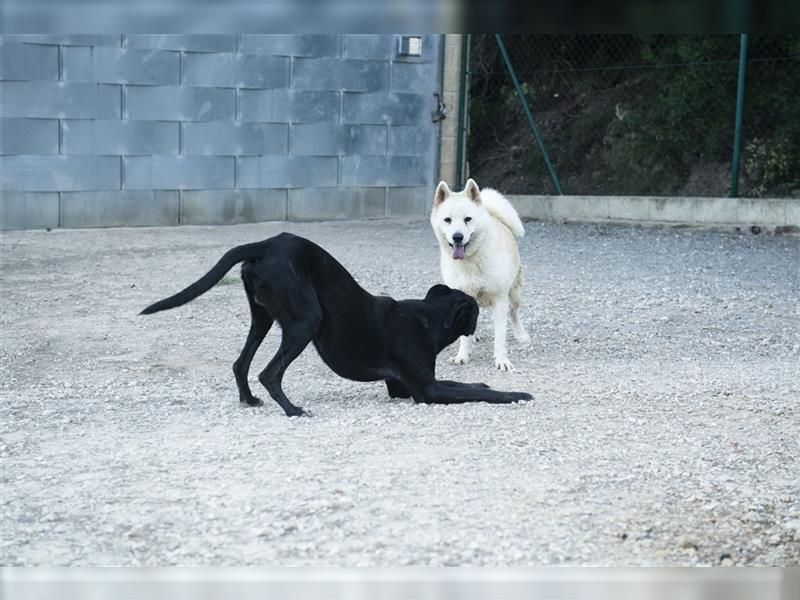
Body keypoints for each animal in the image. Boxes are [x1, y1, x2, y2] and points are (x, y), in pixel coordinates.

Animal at [141, 232, 536, 414]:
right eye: (475, 312)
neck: (426, 317)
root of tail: (268, 243)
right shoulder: (425, 390)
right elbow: (476, 392)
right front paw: (516, 394)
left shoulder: (406, 385)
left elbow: (467, 384)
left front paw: (483, 382)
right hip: (304, 322)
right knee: (269, 373)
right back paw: (292, 410)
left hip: (263, 318)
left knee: (241, 363)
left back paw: (249, 400)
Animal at [432, 177, 532, 370]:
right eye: (447, 220)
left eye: (467, 219)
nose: (457, 237)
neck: (470, 261)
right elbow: (465, 338)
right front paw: (462, 356)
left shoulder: (499, 299)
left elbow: (500, 337)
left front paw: (502, 361)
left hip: (516, 293)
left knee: (513, 313)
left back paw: (522, 337)